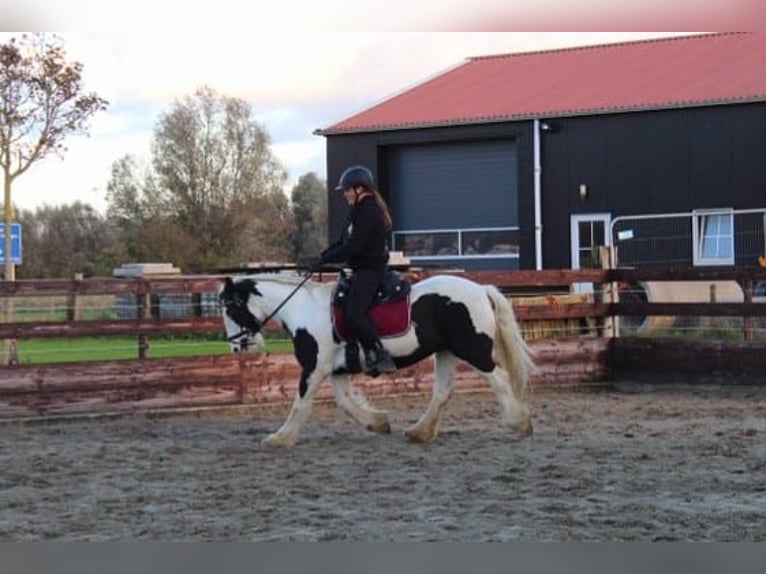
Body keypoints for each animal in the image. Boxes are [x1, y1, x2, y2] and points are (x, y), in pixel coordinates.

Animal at [218, 272, 536, 448]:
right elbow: (345, 402)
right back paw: (420, 432)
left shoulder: (314, 368)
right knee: (442, 392)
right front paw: (379, 423)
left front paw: (280, 438)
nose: (237, 347)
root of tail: (481, 289)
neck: (304, 309)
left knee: (499, 380)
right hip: (445, 352)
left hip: (472, 349)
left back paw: (519, 423)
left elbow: (300, 404)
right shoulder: (337, 370)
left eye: (230, 309)